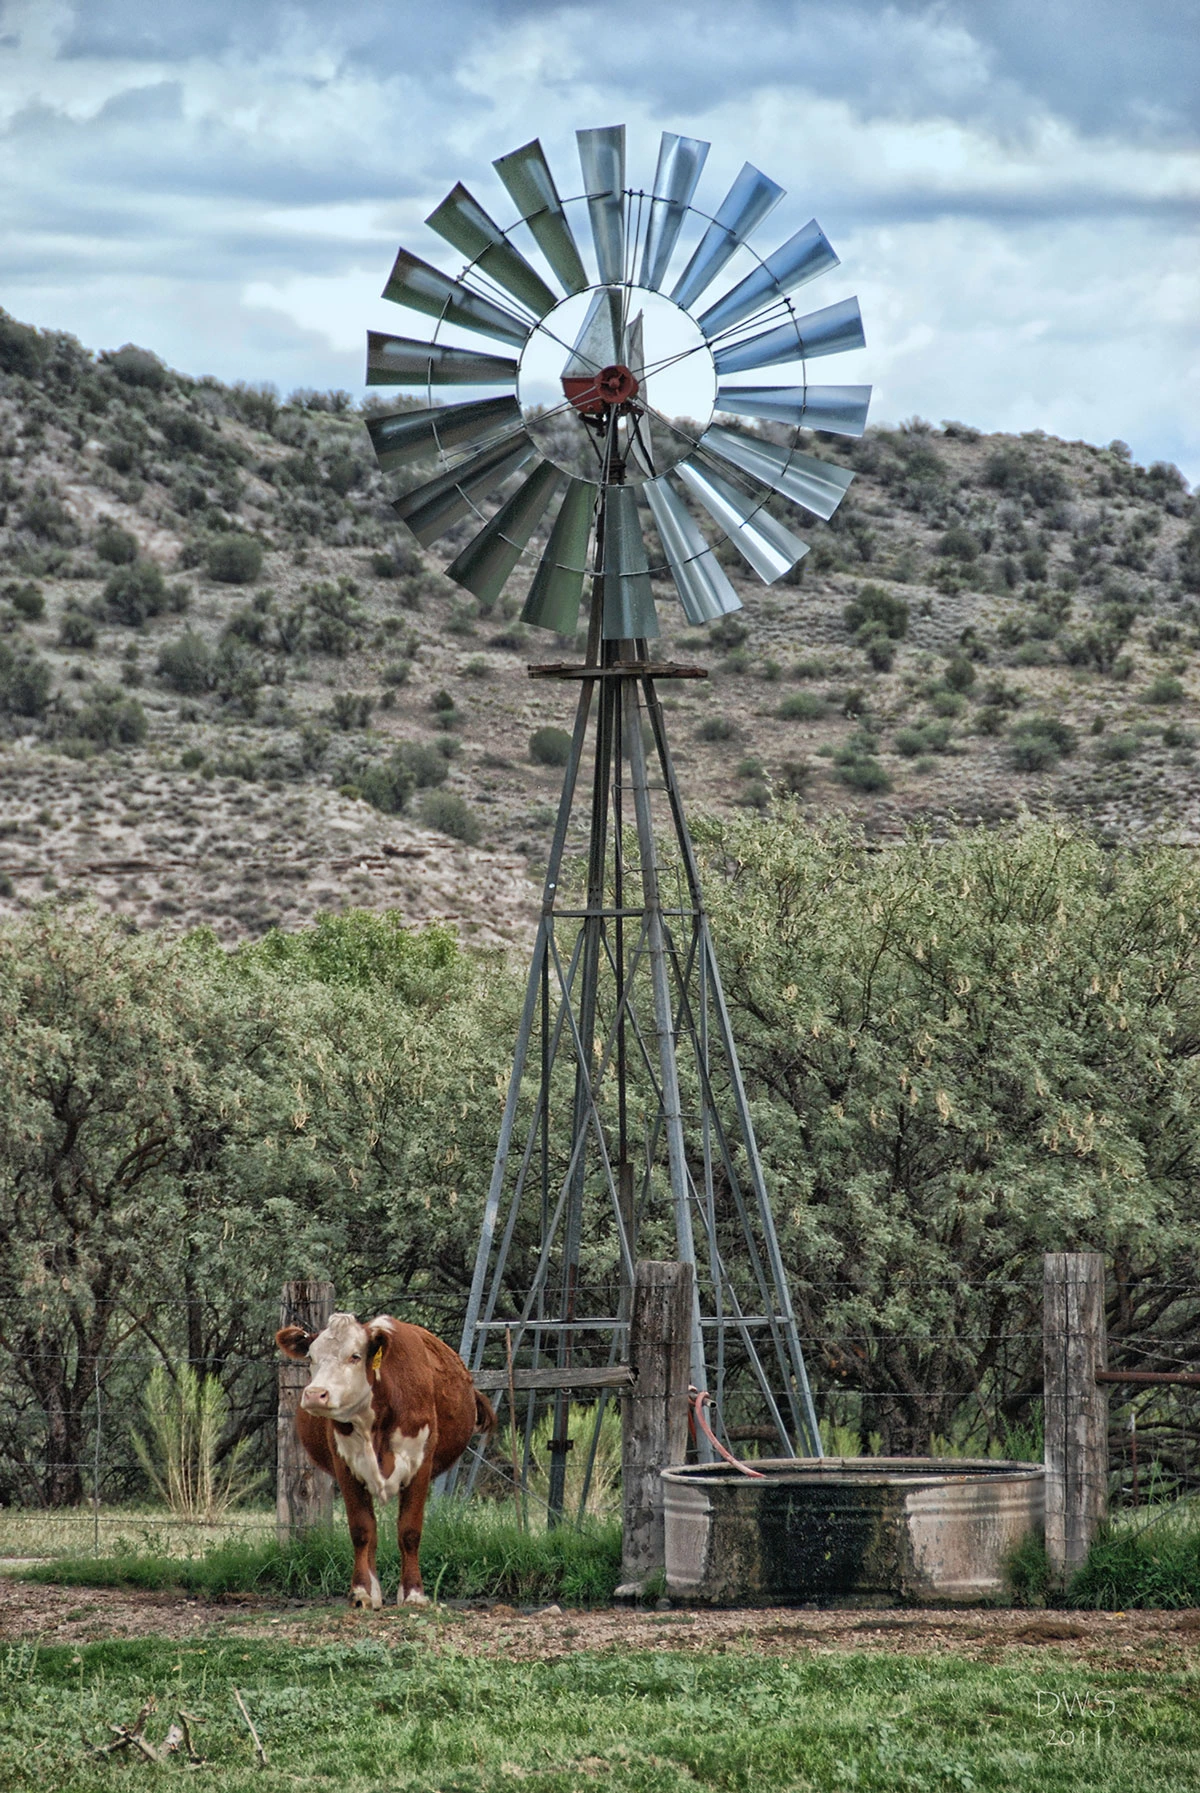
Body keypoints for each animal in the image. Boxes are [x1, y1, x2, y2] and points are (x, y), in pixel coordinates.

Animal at [276, 1305, 491, 1613]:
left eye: (355, 1356)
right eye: (311, 1358)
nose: (315, 1394)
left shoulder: (420, 1465)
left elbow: (409, 1532)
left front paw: (413, 1594)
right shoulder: (345, 1467)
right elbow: (362, 1530)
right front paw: (361, 1592)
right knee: (372, 1534)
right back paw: (374, 1592)